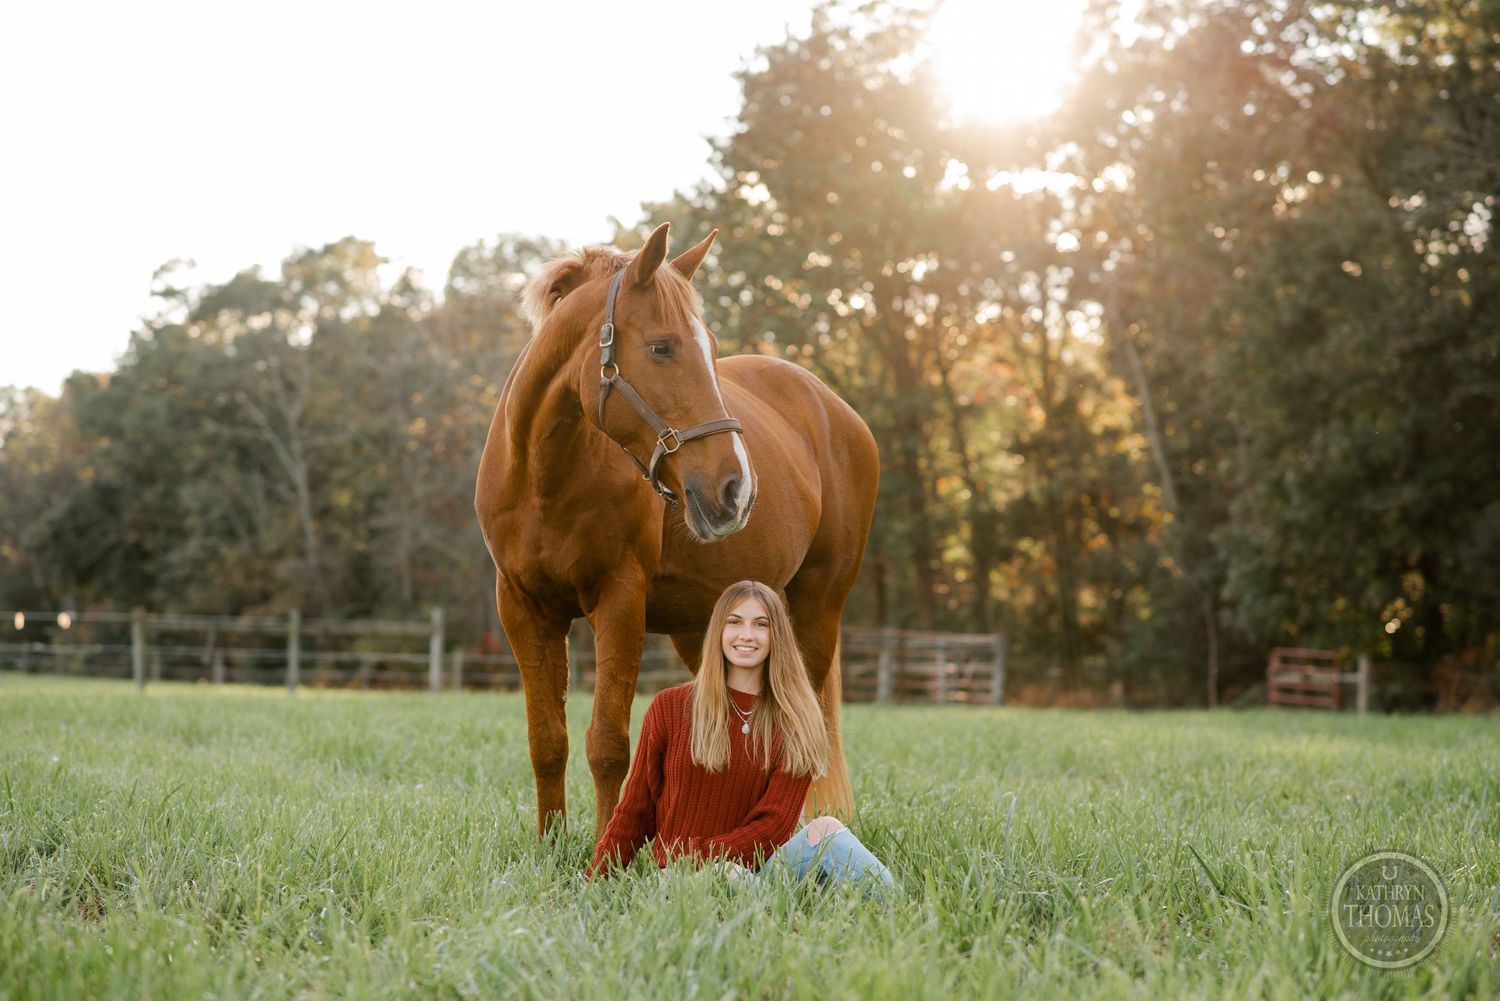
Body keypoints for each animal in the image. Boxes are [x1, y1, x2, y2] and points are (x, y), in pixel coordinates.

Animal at [475, 221, 879, 842]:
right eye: (662, 346)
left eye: (710, 347)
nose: (737, 489)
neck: (545, 478)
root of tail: (835, 408)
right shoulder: (523, 609)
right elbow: (547, 741)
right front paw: (549, 845)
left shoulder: (620, 599)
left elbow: (608, 744)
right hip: (708, 628)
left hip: (818, 606)